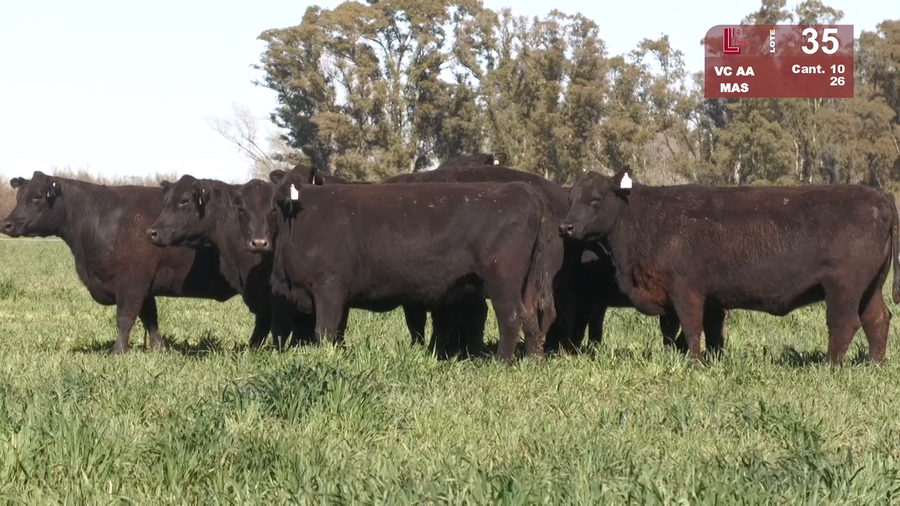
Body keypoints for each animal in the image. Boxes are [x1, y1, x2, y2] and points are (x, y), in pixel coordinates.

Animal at [0, 171, 237, 354]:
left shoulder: (132, 282)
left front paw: (118, 352)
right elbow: (150, 319)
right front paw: (159, 350)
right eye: (19, 196)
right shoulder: (144, 287)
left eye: (37, 196)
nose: (7, 224)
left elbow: (125, 317)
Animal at [233, 173, 558, 362]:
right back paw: (532, 360)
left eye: (273, 208)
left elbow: (324, 331)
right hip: (526, 282)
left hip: (502, 280)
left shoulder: (329, 288)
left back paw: (501, 362)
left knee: (511, 317)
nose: (258, 242)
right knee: (532, 318)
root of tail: (522, 190)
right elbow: (328, 332)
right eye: (241, 208)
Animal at [559, 166, 900, 364]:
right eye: (571, 198)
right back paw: (875, 364)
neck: (647, 218)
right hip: (870, 287)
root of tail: (879, 195)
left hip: (843, 288)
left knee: (844, 324)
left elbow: (691, 328)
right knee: (877, 319)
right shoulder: (710, 299)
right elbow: (710, 333)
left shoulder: (685, 291)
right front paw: (712, 361)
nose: (566, 227)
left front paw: (694, 364)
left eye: (596, 200)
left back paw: (830, 366)